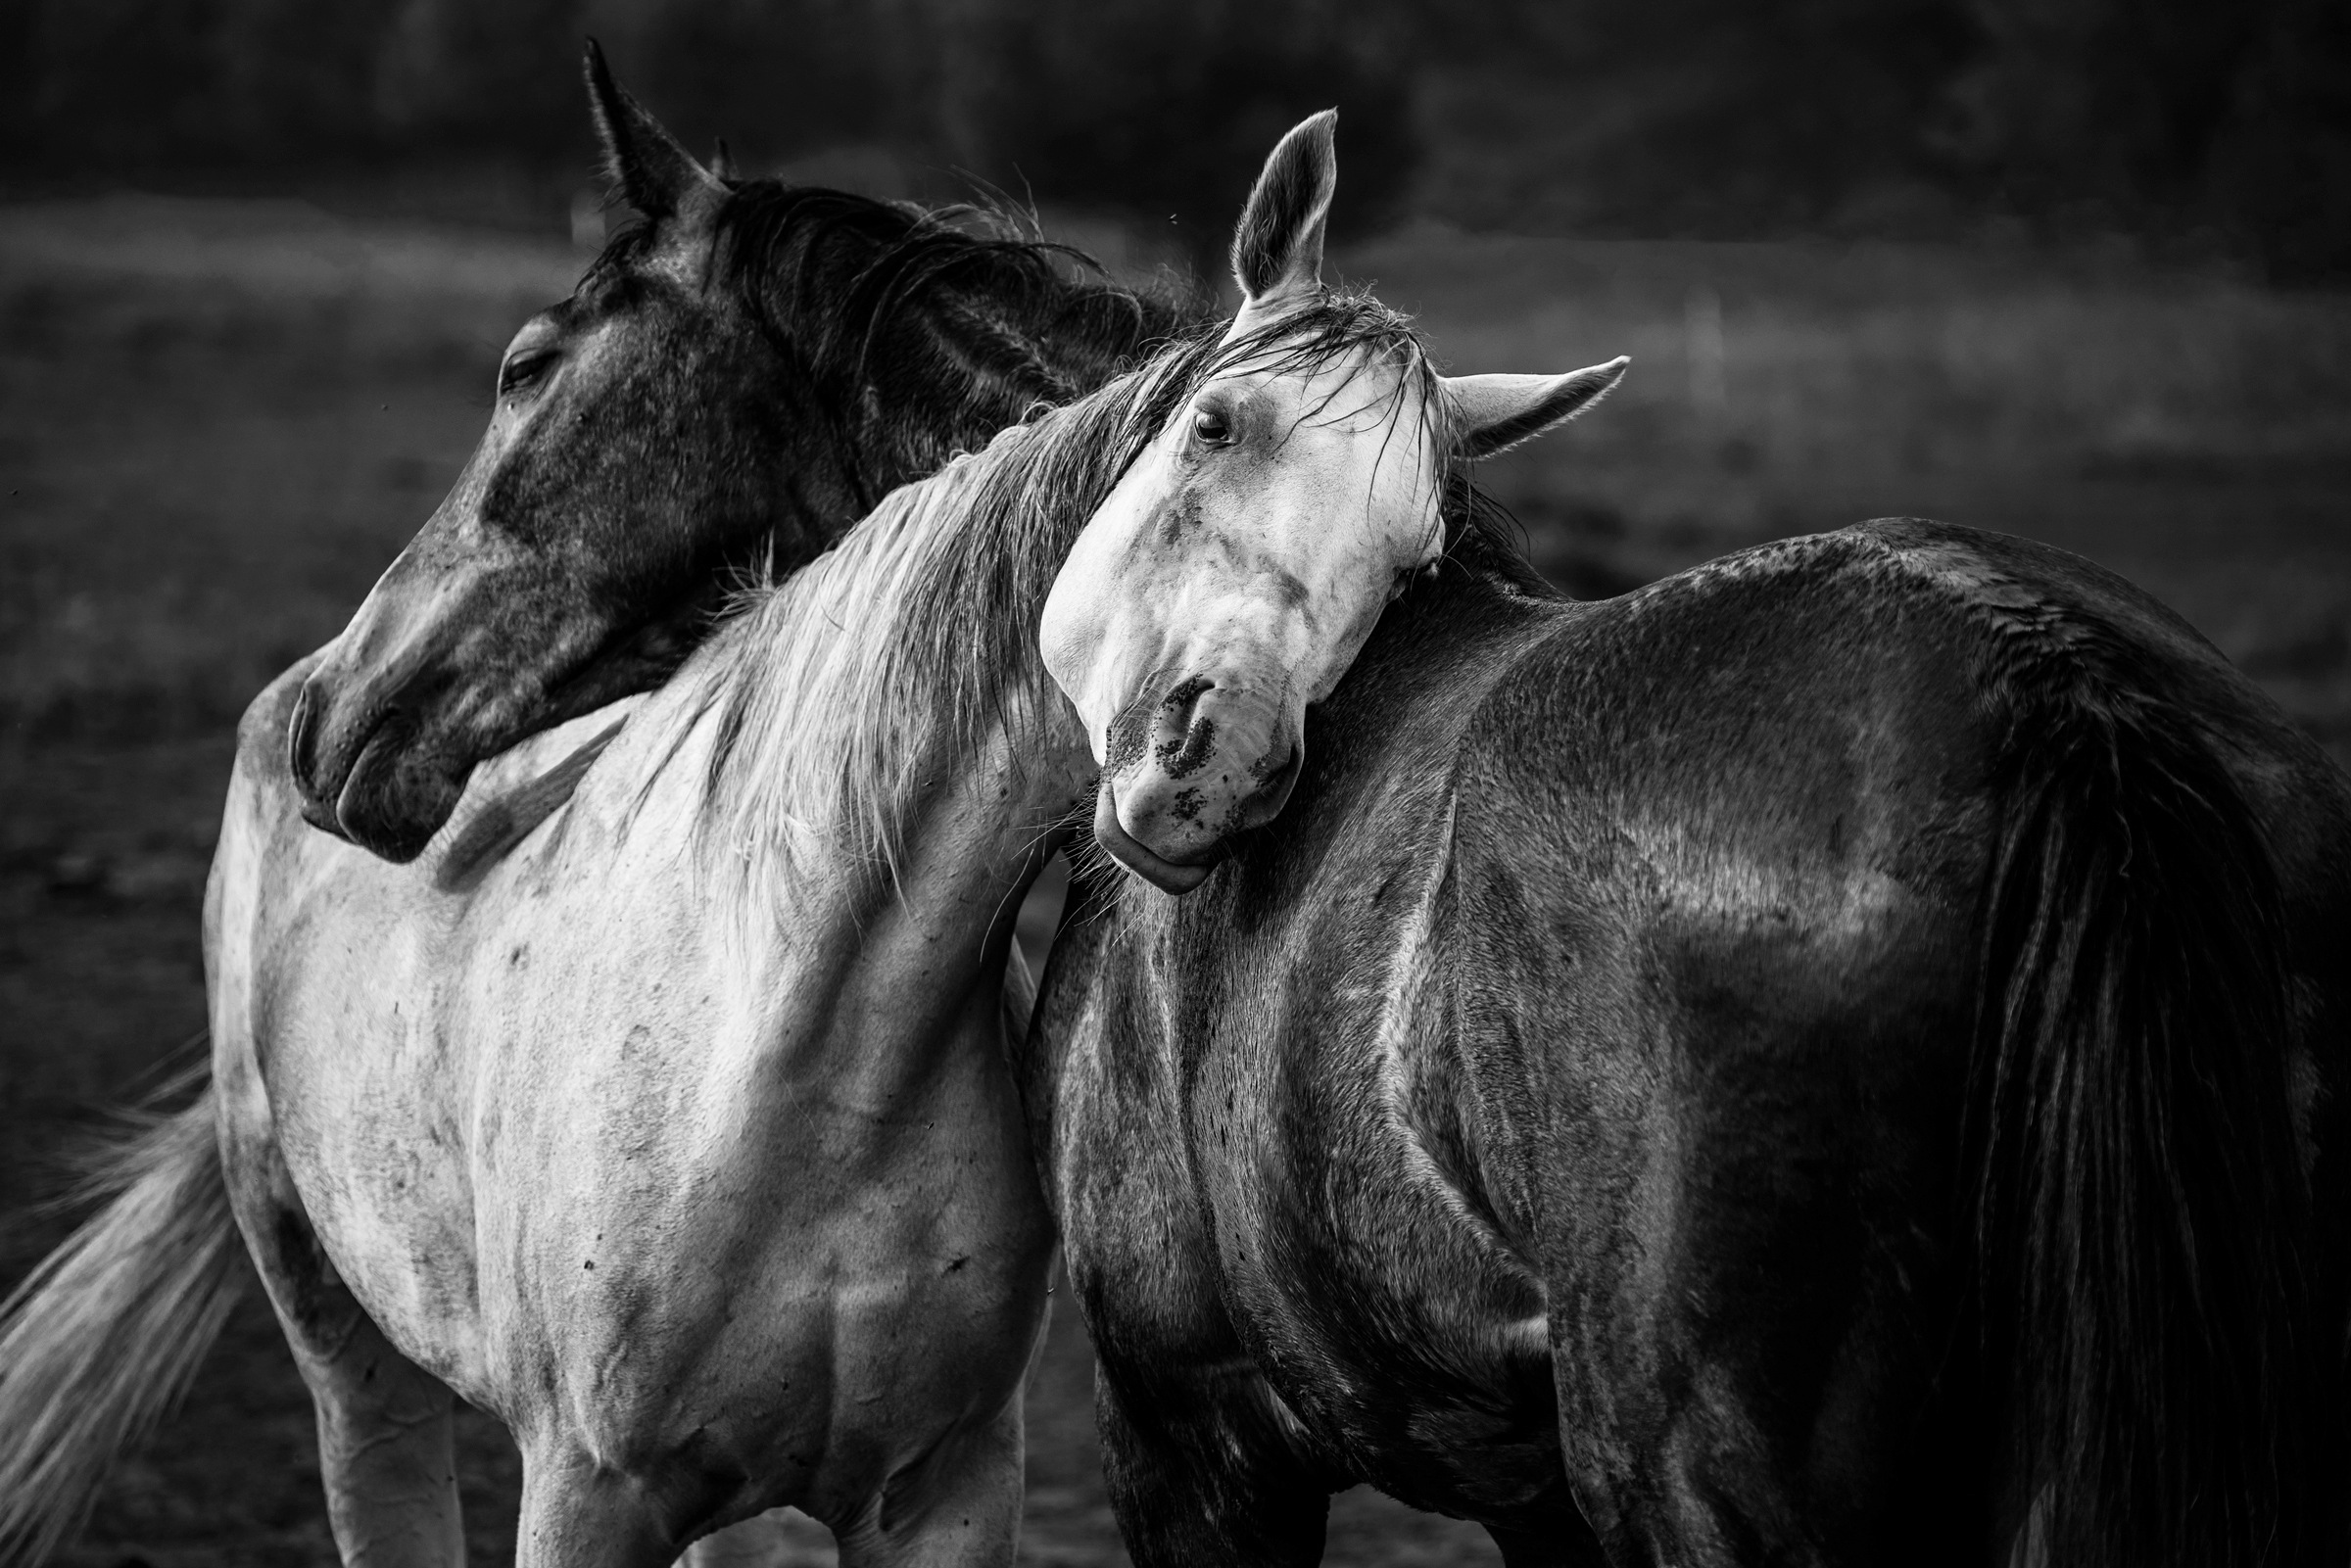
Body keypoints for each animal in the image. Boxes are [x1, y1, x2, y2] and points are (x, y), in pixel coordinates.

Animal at [1034, 116, 2351, 1560]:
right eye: (1214, 423)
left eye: (1408, 555)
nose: (1219, 763)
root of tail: (2046, 672)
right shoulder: (1528, 1483)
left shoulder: (1189, 1433)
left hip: (1691, 1467)